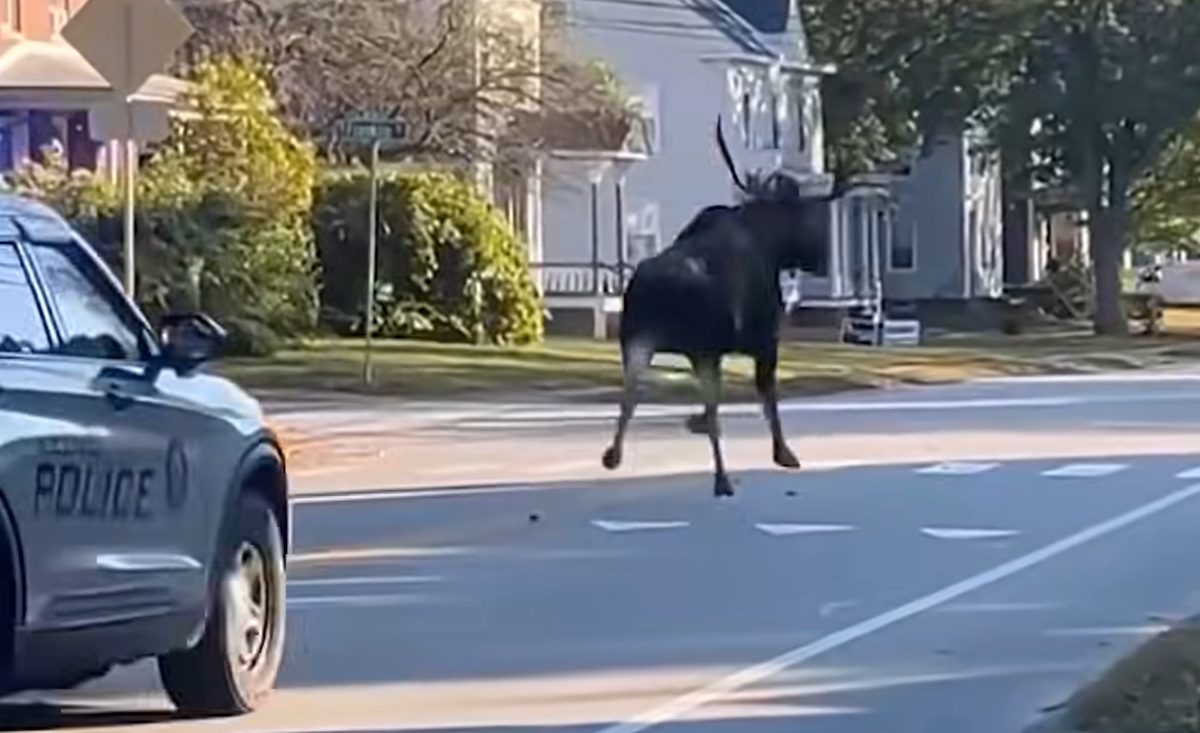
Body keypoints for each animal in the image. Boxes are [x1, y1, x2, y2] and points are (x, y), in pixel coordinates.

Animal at [601, 116, 842, 498]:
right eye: (803, 211)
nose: (818, 256)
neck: (769, 241)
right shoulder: (764, 340)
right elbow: (768, 397)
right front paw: (784, 453)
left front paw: (693, 422)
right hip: (698, 349)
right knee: (710, 411)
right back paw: (721, 478)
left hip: (638, 340)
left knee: (631, 394)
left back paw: (614, 454)